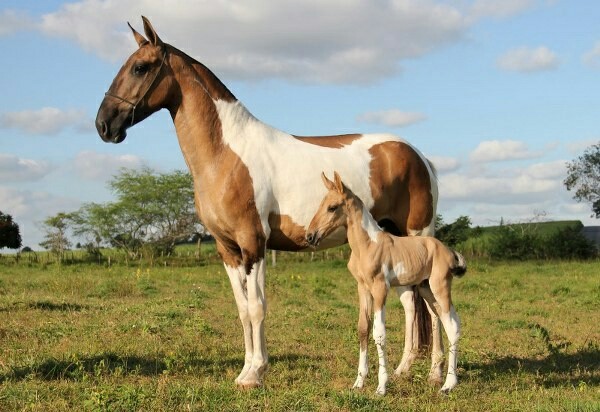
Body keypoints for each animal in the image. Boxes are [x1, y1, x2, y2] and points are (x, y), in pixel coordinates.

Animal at [95, 16, 440, 390]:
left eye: (140, 68)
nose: (104, 125)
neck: (227, 153)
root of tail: (419, 156)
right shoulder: (227, 249)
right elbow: (243, 310)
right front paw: (246, 370)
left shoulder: (253, 243)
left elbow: (258, 306)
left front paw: (256, 373)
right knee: (410, 303)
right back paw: (404, 369)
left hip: (418, 237)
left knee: (429, 303)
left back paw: (435, 374)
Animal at [308, 171, 466, 396]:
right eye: (321, 204)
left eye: (332, 207)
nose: (310, 236)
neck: (367, 245)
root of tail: (449, 252)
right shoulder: (363, 288)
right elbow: (363, 329)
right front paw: (359, 382)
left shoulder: (380, 288)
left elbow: (379, 334)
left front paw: (381, 386)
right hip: (426, 289)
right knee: (450, 321)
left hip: (440, 287)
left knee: (452, 326)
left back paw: (448, 384)